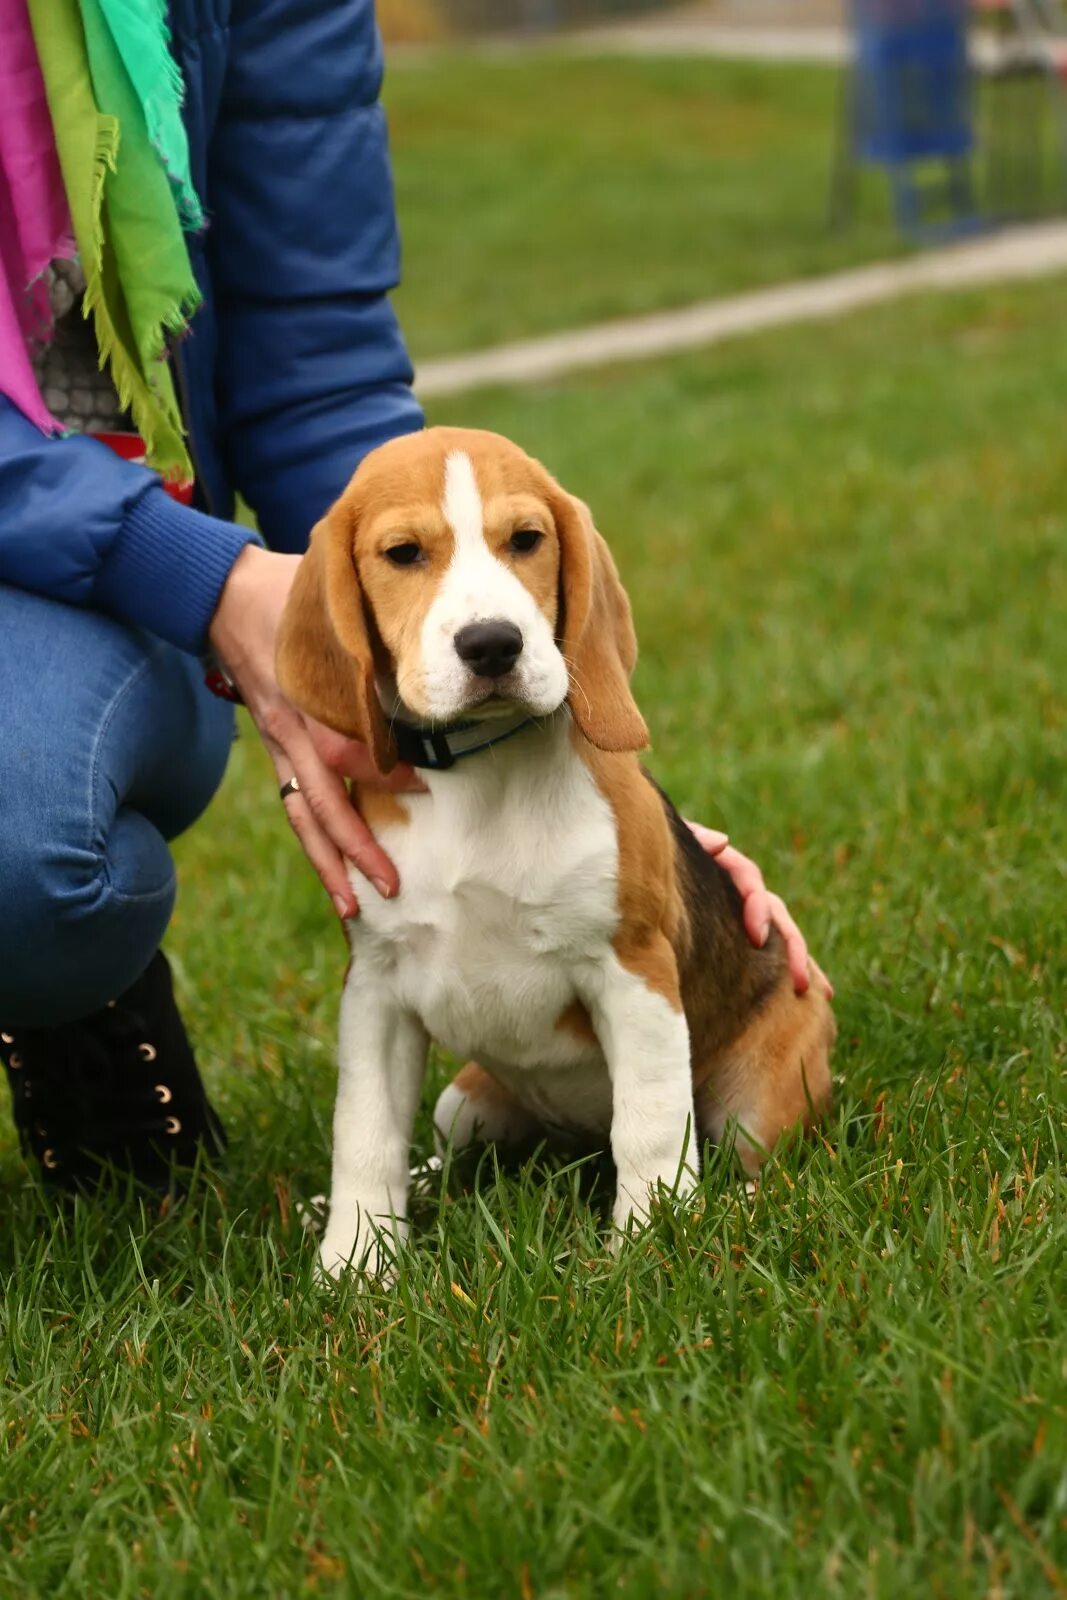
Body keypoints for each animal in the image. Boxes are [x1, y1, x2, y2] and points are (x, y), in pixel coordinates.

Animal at [278, 425, 831, 1273]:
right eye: (403, 553)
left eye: (526, 540)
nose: (492, 645)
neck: (477, 775)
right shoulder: (374, 989)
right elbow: (364, 1134)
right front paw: (357, 1263)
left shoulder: (632, 970)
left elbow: (648, 1125)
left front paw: (649, 1239)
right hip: (463, 1100)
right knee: (446, 1154)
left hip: (766, 1085)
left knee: (750, 1164)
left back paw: (727, 1214)